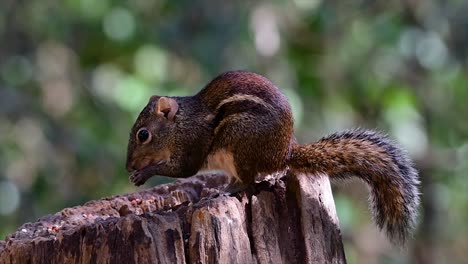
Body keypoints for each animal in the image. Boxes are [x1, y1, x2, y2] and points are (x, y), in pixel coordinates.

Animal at [125, 69, 420, 243]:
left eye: (143, 135)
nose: (128, 166)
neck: (180, 124)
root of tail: (283, 155)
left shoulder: (191, 145)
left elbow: (183, 169)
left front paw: (143, 173)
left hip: (240, 144)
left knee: (248, 181)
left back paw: (226, 191)